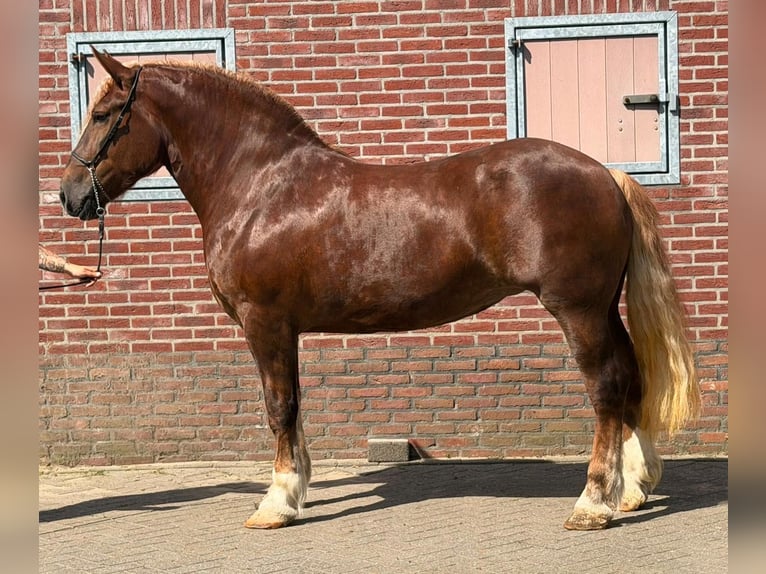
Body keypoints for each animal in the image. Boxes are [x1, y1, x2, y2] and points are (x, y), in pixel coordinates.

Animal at [59, 48, 700, 531]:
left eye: (106, 113)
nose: (70, 195)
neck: (260, 185)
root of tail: (605, 174)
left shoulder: (265, 322)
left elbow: (278, 405)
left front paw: (277, 502)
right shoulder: (286, 329)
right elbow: (295, 405)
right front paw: (298, 487)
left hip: (578, 309)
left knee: (607, 386)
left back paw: (593, 503)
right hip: (602, 307)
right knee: (632, 377)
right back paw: (634, 489)